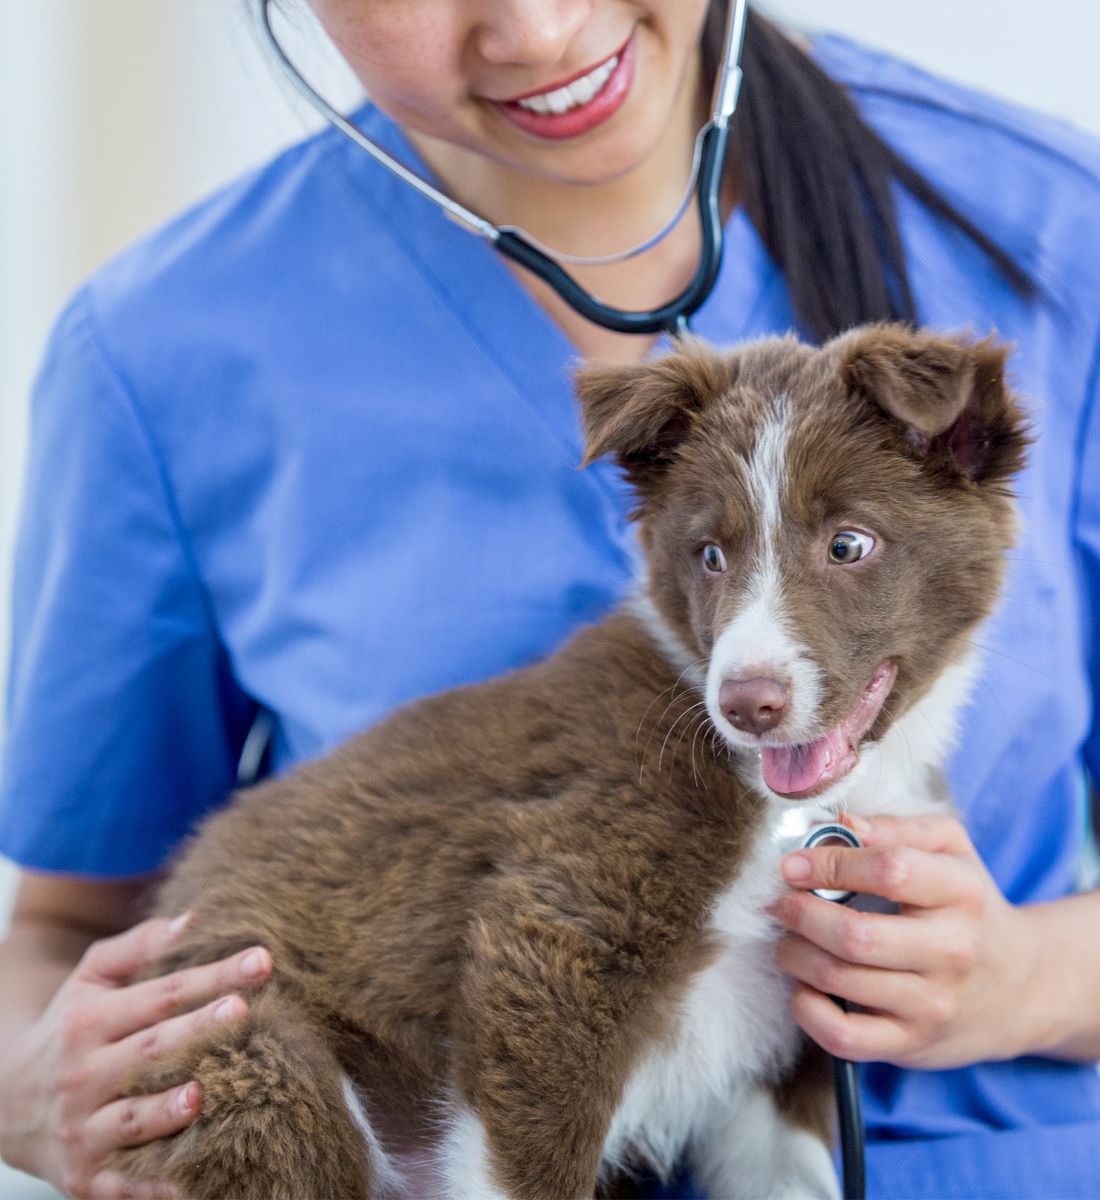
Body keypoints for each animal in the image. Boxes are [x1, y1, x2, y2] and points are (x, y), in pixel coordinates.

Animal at [115, 324, 1026, 1200]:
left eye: (848, 545)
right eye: (710, 555)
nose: (747, 704)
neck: (786, 806)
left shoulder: (795, 1030)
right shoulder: (553, 941)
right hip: (247, 1044)